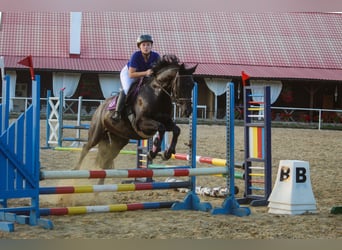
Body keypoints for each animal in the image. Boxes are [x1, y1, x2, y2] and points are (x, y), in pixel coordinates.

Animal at [75, 54, 198, 184]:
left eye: (192, 85)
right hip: (96, 133)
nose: (188, 111)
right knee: (86, 147)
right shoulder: (141, 123)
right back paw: (75, 170)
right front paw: (152, 152)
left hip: (118, 141)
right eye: (181, 85)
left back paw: (99, 185)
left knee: (106, 159)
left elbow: (176, 130)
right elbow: (161, 128)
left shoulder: (167, 121)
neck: (157, 94)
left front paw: (167, 153)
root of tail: (100, 107)